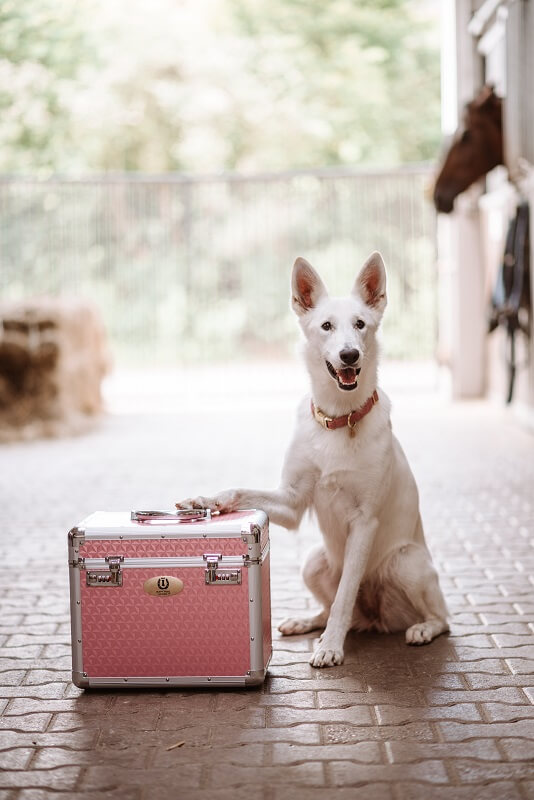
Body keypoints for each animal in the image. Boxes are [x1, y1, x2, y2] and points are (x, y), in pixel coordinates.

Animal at [178, 253, 450, 664]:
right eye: (326, 326)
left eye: (360, 324)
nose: (349, 354)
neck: (338, 420)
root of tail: (375, 618)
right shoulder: (291, 502)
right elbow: (239, 491)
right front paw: (205, 501)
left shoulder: (364, 523)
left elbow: (344, 596)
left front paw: (332, 647)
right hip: (313, 561)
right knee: (331, 607)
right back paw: (306, 621)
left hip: (407, 562)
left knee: (440, 616)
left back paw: (420, 629)